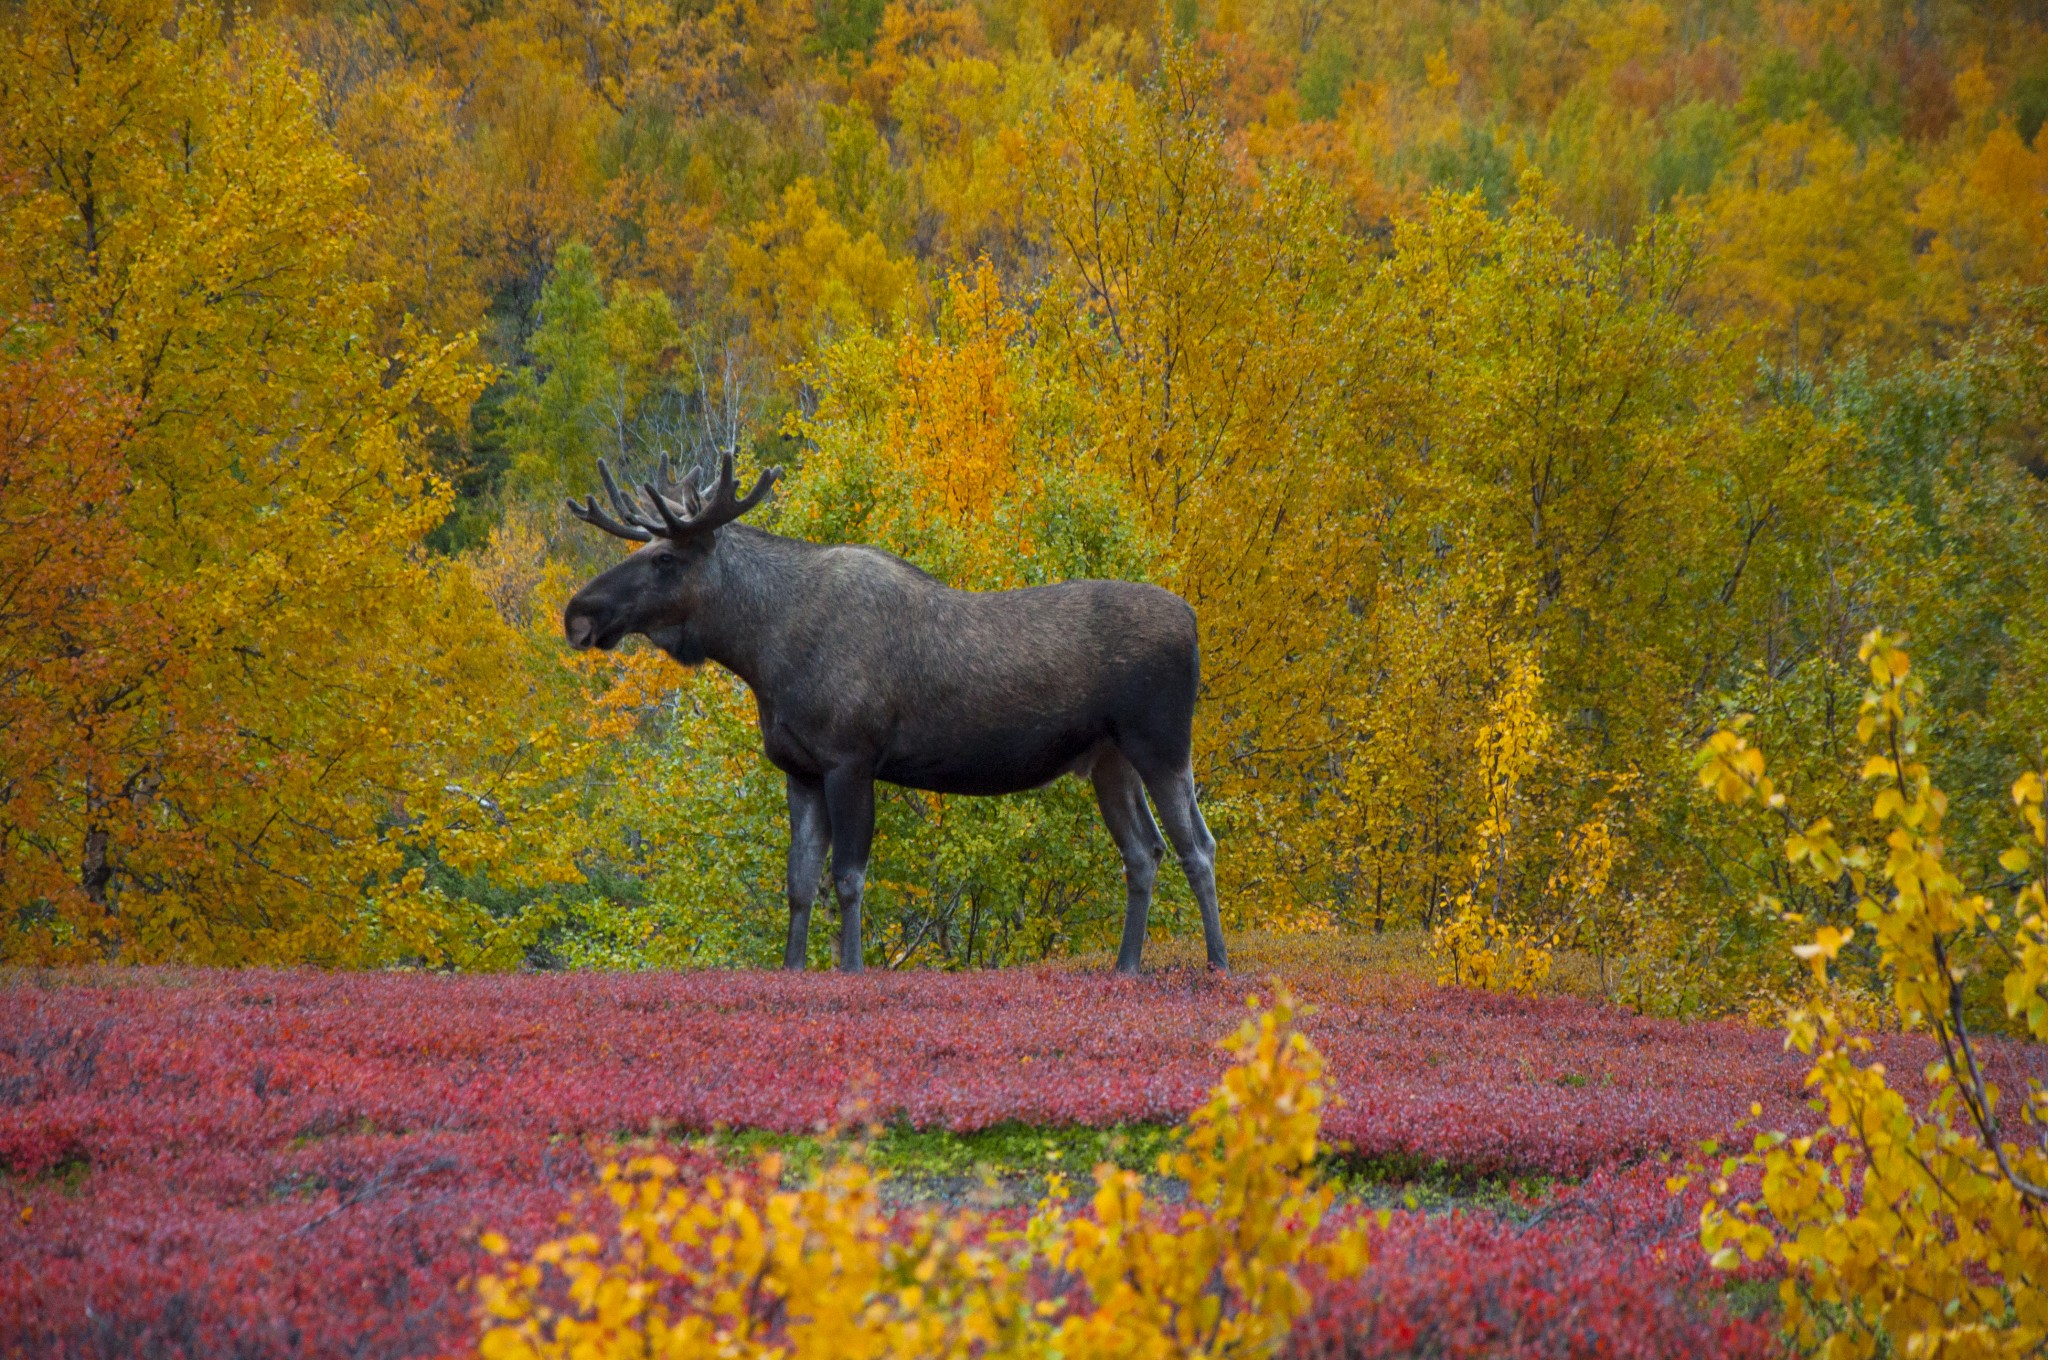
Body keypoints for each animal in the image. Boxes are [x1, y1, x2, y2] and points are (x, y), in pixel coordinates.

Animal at [561, 456, 1220, 979]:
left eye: (665, 557)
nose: (579, 613)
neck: (763, 654)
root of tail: (1192, 620)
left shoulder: (851, 758)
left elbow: (848, 877)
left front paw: (851, 969)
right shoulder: (799, 769)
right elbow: (799, 881)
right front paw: (792, 968)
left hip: (1161, 743)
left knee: (1197, 845)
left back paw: (1217, 963)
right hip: (1109, 759)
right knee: (1144, 852)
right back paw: (1127, 966)